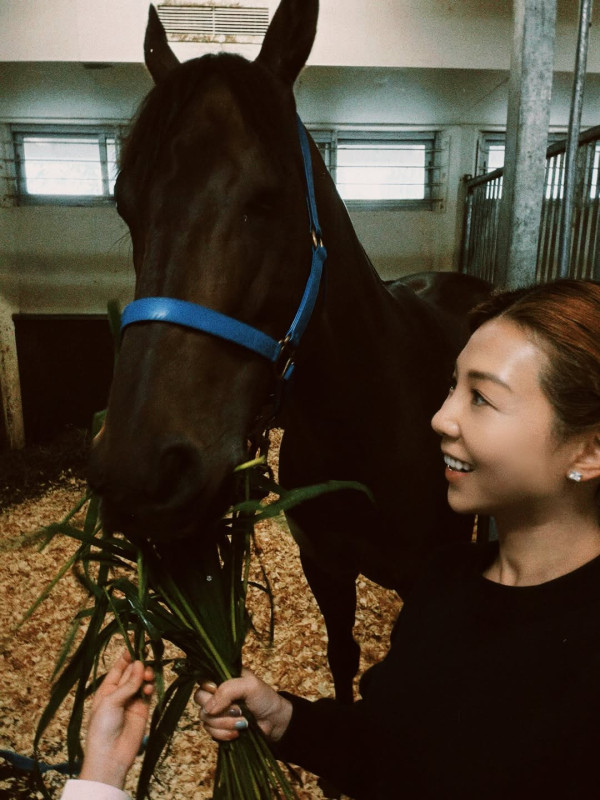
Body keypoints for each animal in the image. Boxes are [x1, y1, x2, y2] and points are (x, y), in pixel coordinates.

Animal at [88, 0, 490, 704]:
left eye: (267, 199)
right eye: (126, 205)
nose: (139, 473)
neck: (370, 428)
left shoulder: (422, 580)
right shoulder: (324, 566)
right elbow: (341, 656)